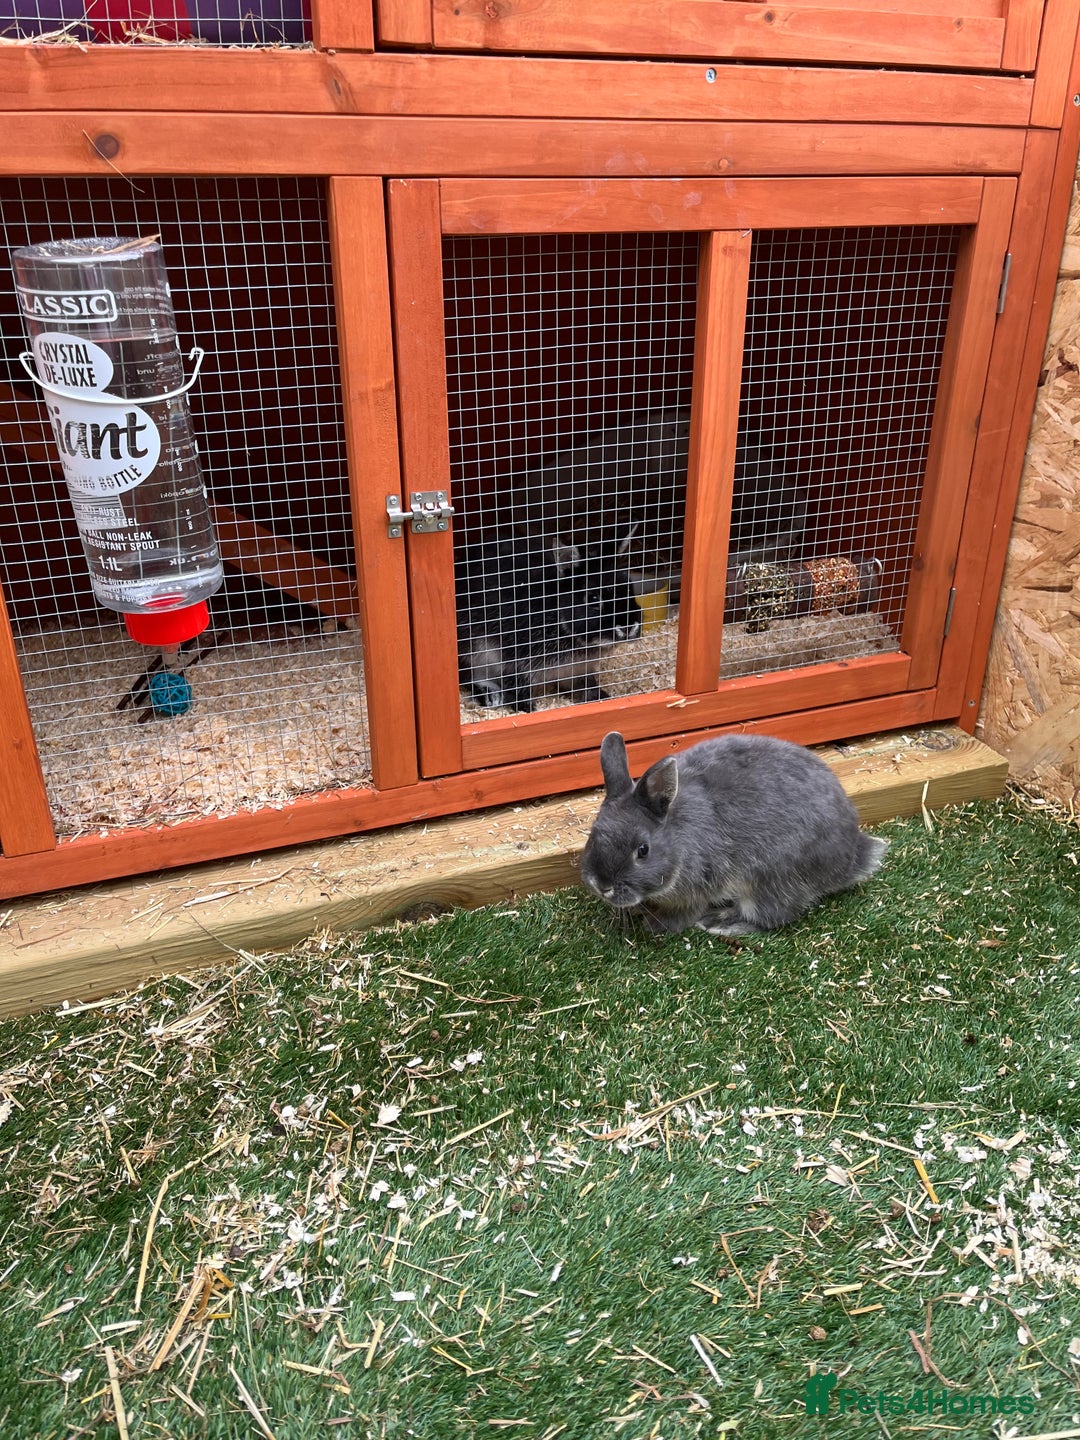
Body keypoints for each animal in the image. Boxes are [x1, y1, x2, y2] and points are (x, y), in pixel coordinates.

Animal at [457, 530, 643, 713]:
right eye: (593, 598)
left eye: (629, 587)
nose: (628, 628)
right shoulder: (517, 662)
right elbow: (518, 690)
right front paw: (529, 711)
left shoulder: (576, 669)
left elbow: (586, 685)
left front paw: (601, 698)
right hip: (472, 652)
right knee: (469, 677)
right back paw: (490, 695)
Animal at [581, 730, 887, 936]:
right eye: (593, 835)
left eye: (642, 850)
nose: (602, 885)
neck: (678, 837)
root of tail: (852, 857)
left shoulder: (696, 888)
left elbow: (683, 914)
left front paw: (656, 926)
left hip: (770, 878)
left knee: (772, 917)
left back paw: (721, 922)